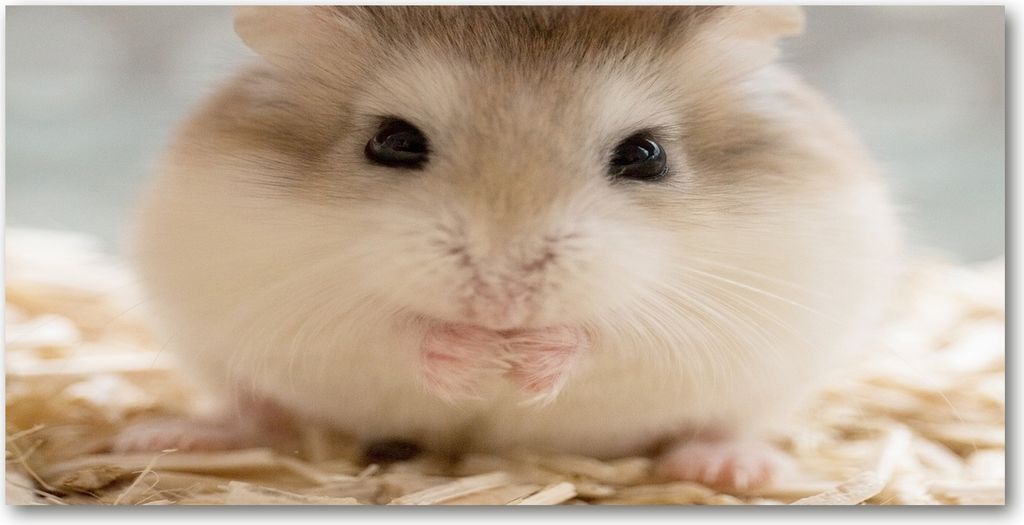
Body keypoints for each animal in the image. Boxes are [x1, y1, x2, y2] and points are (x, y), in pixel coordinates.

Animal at [119, 6, 900, 490]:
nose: (501, 301)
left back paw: (730, 468)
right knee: (261, 412)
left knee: (727, 424)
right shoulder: (288, 291)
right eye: (394, 142)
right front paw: (474, 354)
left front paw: (527, 358)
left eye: (645, 156)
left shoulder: (714, 312)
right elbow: (390, 327)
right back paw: (167, 437)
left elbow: (610, 336)